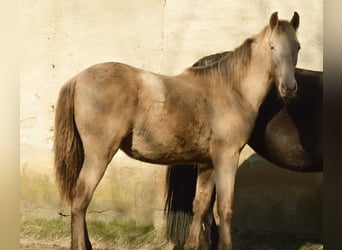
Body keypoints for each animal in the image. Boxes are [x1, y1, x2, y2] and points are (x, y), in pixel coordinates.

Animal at [54, 12, 302, 250]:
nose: (289, 88)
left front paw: (192, 244)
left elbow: (200, 204)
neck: (231, 91)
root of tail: (77, 79)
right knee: (81, 200)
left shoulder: (207, 163)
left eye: (297, 47)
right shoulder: (227, 157)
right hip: (99, 155)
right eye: (272, 46)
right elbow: (225, 207)